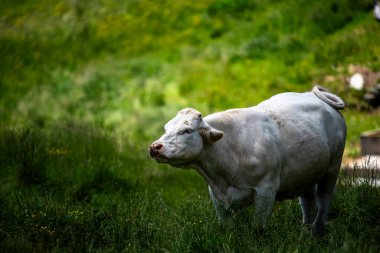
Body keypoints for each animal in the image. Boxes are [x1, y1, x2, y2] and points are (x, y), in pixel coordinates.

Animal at [149, 86, 348, 234]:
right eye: (166, 128)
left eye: (187, 130)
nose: (155, 147)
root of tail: (313, 95)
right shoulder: (216, 197)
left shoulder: (266, 190)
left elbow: (258, 228)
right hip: (306, 172)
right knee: (307, 200)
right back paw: (305, 230)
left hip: (333, 166)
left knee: (324, 198)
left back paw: (317, 229)